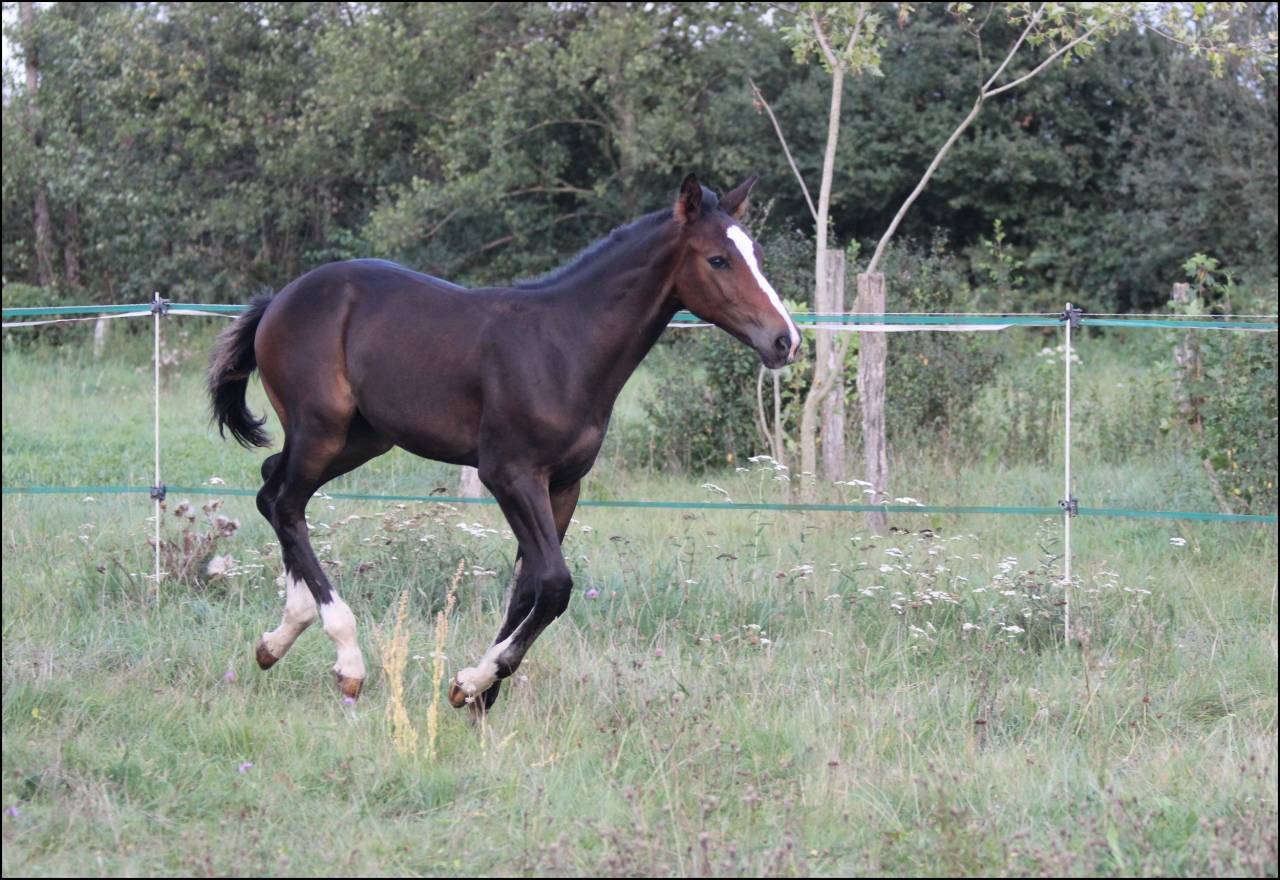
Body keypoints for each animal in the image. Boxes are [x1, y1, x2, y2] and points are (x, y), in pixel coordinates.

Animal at [207, 173, 799, 713]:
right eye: (718, 259)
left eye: (757, 254)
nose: (785, 340)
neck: (565, 346)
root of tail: (279, 299)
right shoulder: (510, 474)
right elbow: (555, 583)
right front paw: (475, 680)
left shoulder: (564, 485)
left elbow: (529, 587)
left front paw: (478, 692)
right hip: (322, 429)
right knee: (286, 503)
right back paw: (345, 658)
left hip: (360, 439)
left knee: (273, 488)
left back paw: (278, 637)